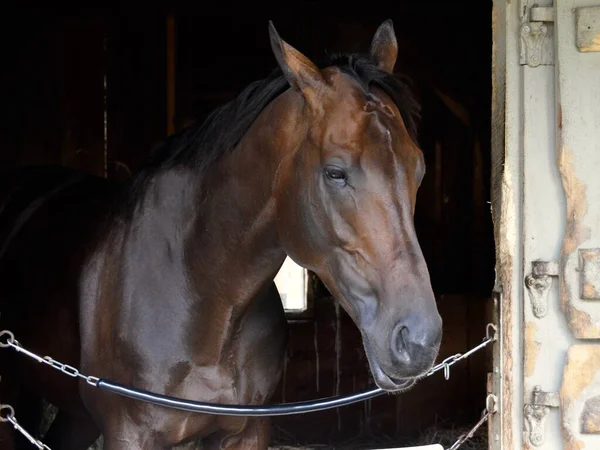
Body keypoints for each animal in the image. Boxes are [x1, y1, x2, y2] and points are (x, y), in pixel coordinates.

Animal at [0, 20, 440, 450]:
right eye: (335, 172)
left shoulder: (247, 432)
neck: (199, 287)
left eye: (418, 169)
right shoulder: (129, 434)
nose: (419, 340)